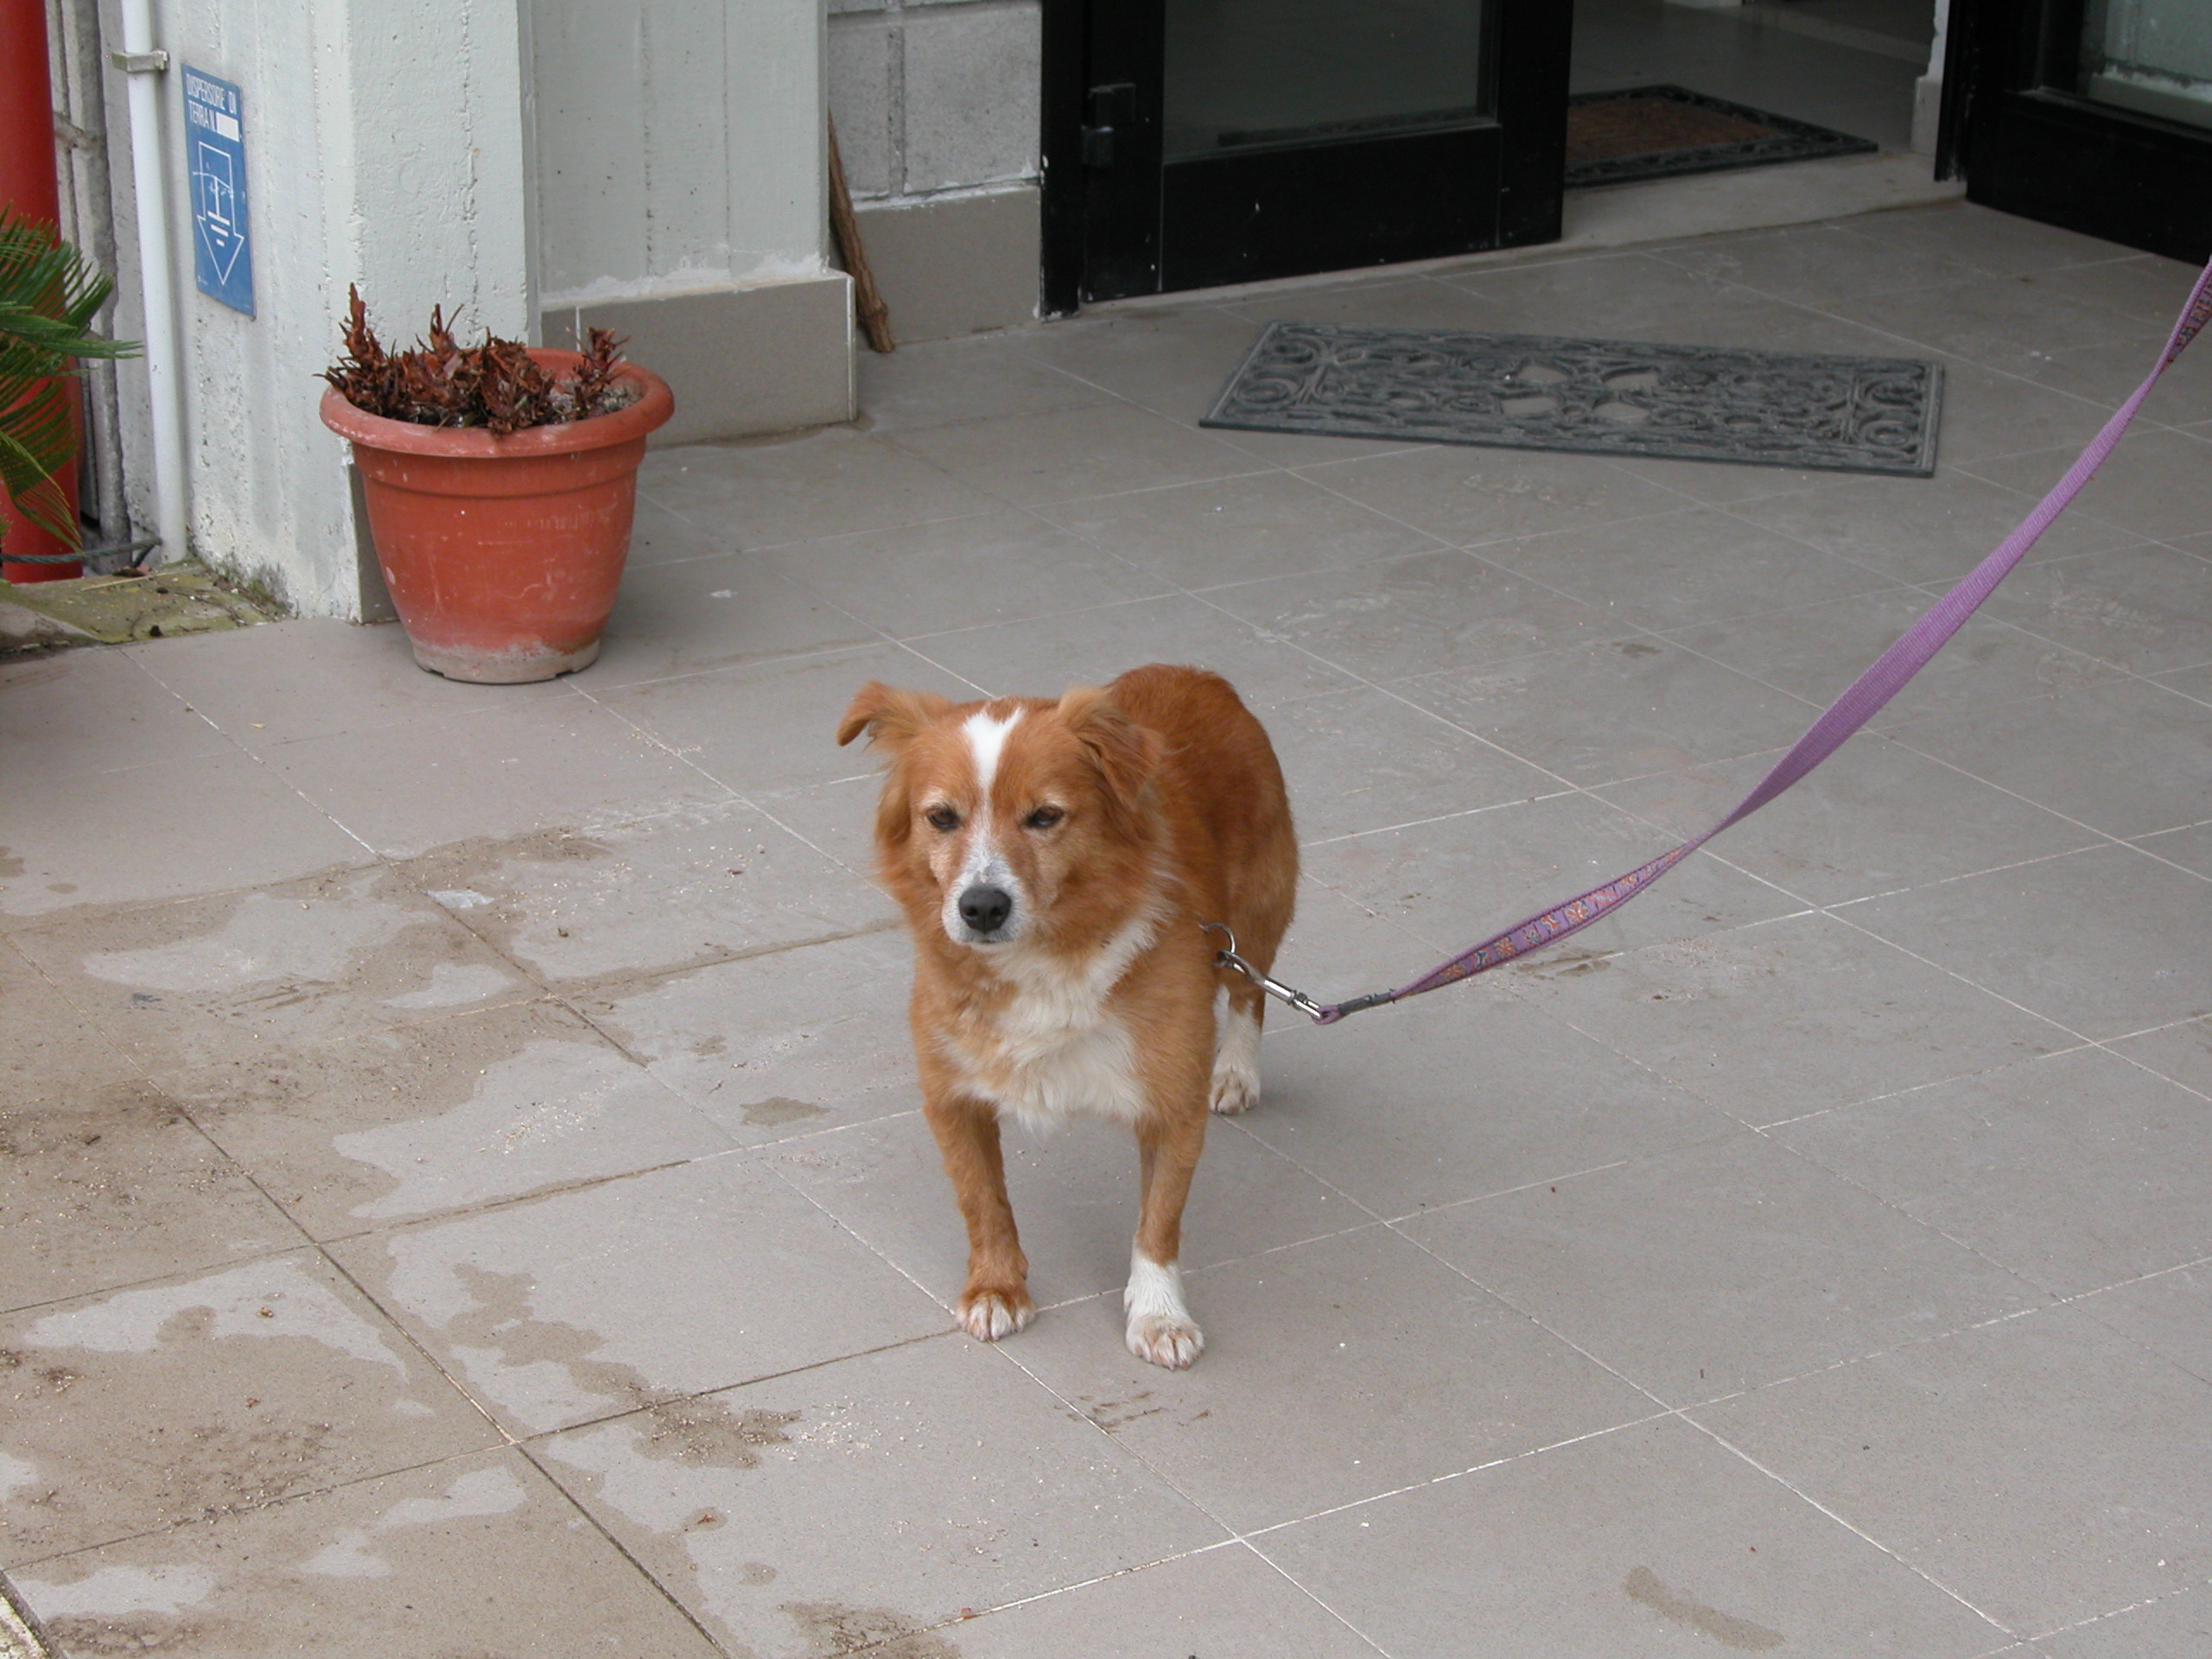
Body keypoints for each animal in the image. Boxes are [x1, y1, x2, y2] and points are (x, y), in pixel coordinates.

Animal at [840, 668, 1292, 1371]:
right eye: (941, 818)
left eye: (1045, 817)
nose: (982, 907)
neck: (1048, 954)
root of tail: (1198, 675)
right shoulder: (951, 1095)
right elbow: (983, 1200)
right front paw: (996, 1287)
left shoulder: (1172, 1102)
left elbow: (1158, 1223)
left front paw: (1158, 1314)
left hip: (1255, 912)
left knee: (1253, 990)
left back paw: (1237, 1071)